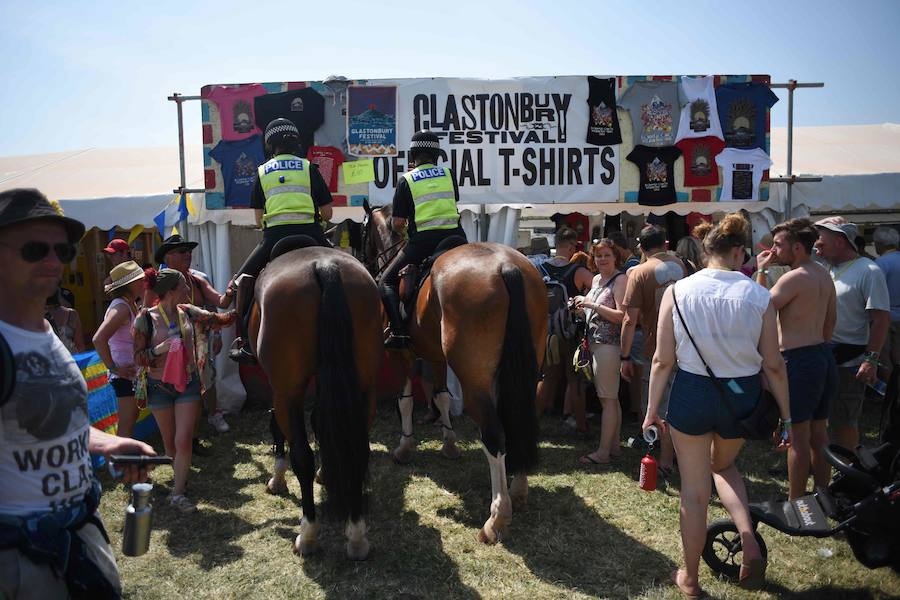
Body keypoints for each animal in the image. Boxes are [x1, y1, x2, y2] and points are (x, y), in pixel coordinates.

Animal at [248, 241, 382, 560]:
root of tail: (324, 266)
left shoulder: (281, 390)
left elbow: (277, 427)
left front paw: (277, 478)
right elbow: (321, 422)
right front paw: (327, 473)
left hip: (289, 392)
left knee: (303, 458)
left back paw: (307, 534)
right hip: (364, 387)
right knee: (359, 451)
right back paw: (356, 535)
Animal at [360, 205, 544, 544]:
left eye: (362, 230)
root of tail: (507, 266)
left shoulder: (402, 354)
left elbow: (405, 401)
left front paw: (404, 448)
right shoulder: (436, 357)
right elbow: (442, 396)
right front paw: (449, 444)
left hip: (475, 384)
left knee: (494, 436)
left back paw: (496, 518)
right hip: (523, 376)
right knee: (519, 419)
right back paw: (519, 489)